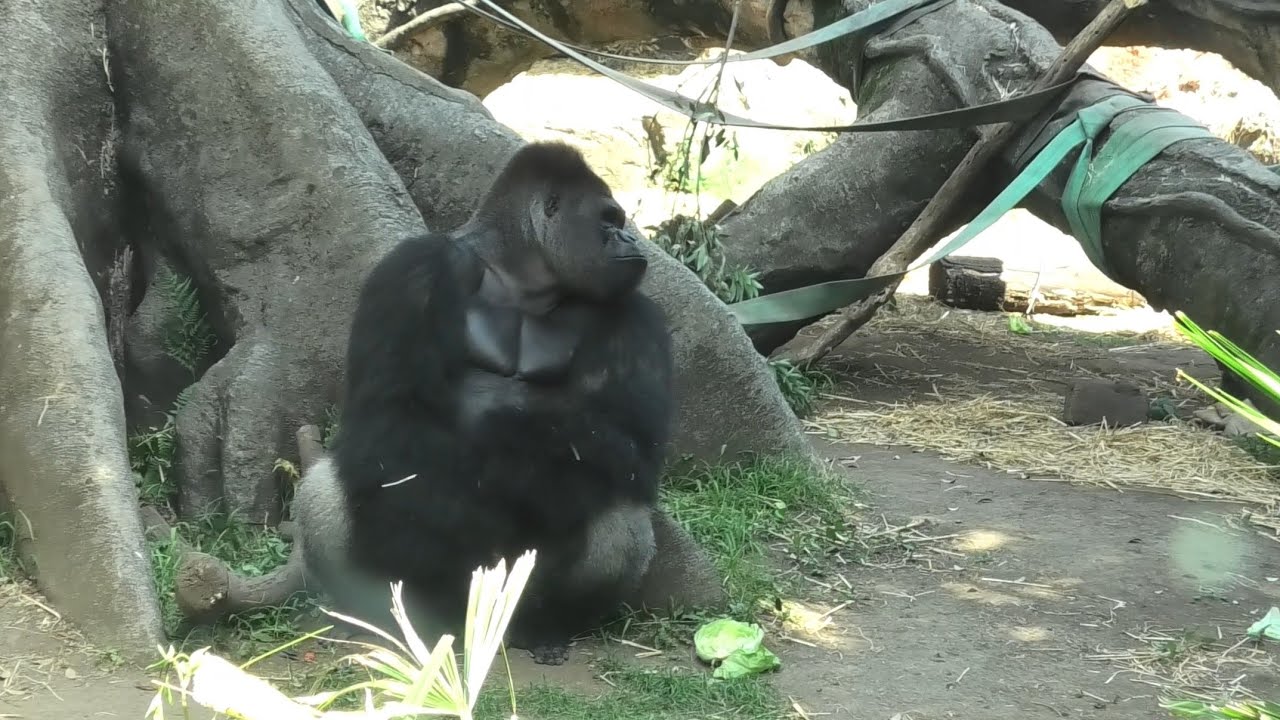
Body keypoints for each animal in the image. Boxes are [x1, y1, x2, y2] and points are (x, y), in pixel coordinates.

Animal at [291, 141, 677, 666]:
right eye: (608, 219)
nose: (629, 241)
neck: (521, 278)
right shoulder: (414, 267)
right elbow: (388, 418)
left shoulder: (635, 311)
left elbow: (628, 446)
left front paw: (509, 436)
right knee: (330, 486)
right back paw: (384, 614)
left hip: (509, 600)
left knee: (617, 504)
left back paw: (548, 625)